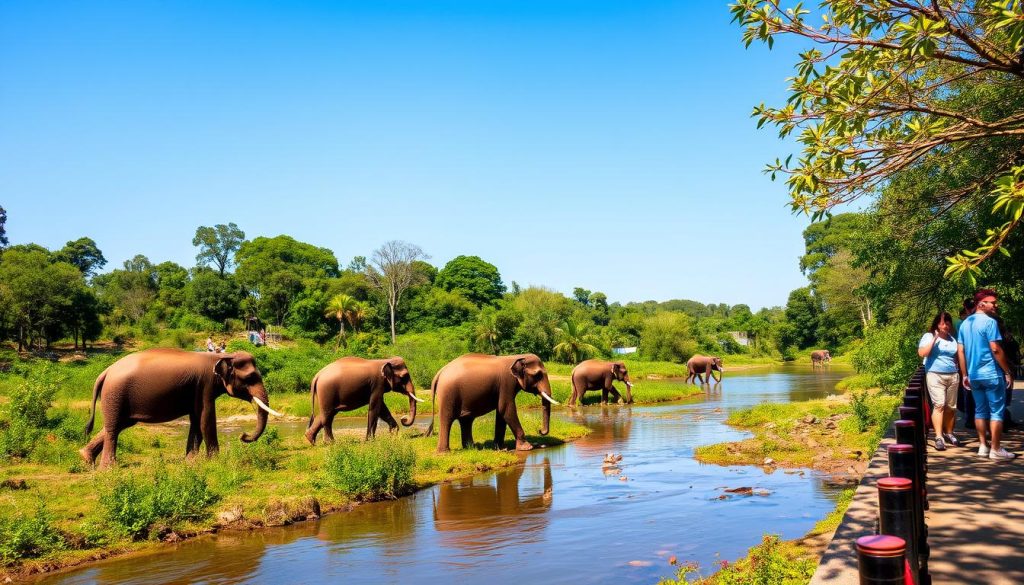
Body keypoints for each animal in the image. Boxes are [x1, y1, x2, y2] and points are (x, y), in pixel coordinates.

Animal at [80, 348, 280, 468]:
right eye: (250, 378)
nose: (243, 435)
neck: (220, 356)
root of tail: (106, 371)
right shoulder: (205, 384)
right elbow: (206, 419)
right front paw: (215, 461)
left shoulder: (197, 389)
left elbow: (197, 420)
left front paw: (190, 462)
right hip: (115, 394)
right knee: (114, 428)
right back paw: (108, 469)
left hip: (116, 398)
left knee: (118, 425)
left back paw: (86, 458)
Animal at [426, 353, 560, 453]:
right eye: (538, 375)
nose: (539, 431)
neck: (517, 357)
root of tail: (439, 373)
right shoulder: (506, 382)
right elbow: (506, 409)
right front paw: (527, 447)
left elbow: (501, 413)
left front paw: (501, 448)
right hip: (448, 394)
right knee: (447, 419)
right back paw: (445, 452)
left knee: (466, 420)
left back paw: (471, 448)